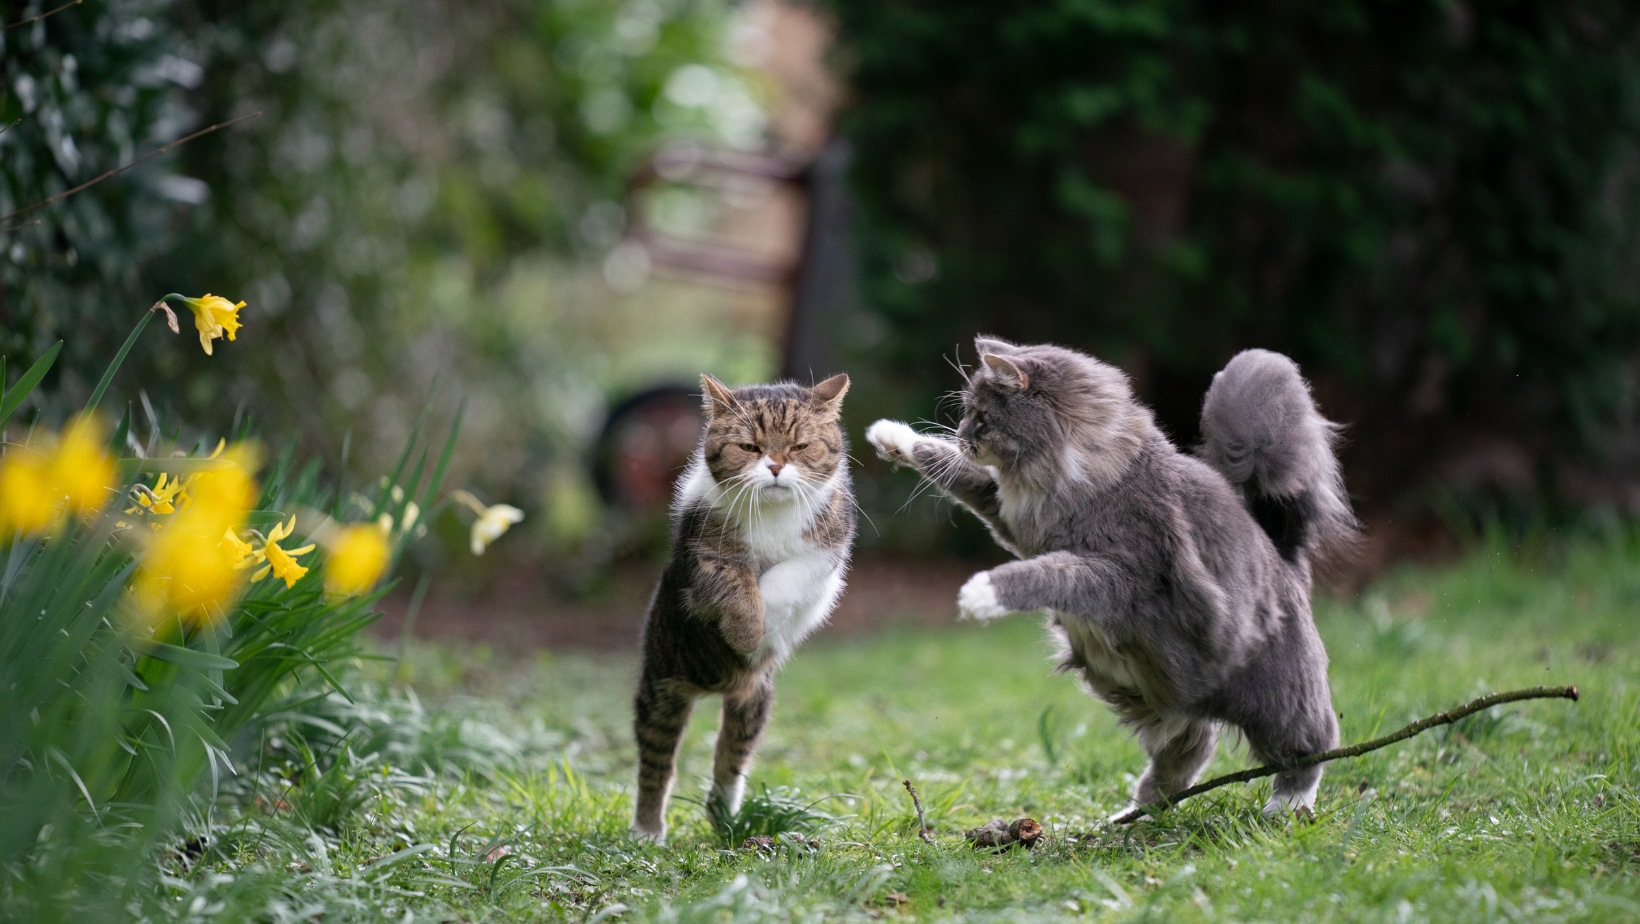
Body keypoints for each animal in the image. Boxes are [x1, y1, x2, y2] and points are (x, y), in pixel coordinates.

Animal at [629, 372, 859, 840]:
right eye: (750, 447)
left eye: (799, 446)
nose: (774, 466)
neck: (772, 514)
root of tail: (714, 684)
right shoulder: (704, 550)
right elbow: (737, 582)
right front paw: (747, 630)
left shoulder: (826, 550)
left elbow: (783, 578)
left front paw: (763, 626)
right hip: (661, 689)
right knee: (657, 763)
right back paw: (647, 830)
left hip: (753, 703)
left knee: (729, 760)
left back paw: (725, 818)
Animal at [872, 338, 1357, 817]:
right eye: (967, 414)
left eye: (981, 416)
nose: (961, 435)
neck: (1073, 473)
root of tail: (1283, 555)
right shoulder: (1011, 518)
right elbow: (953, 469)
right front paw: (892, 436)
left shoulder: (1118, 573)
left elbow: (1046, 575)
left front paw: (981, 593)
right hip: (1157, 703)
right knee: (1189, 753)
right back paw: (1132, 818)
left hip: (1281, 703)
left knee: (1311, 750)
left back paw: (1287, 805)